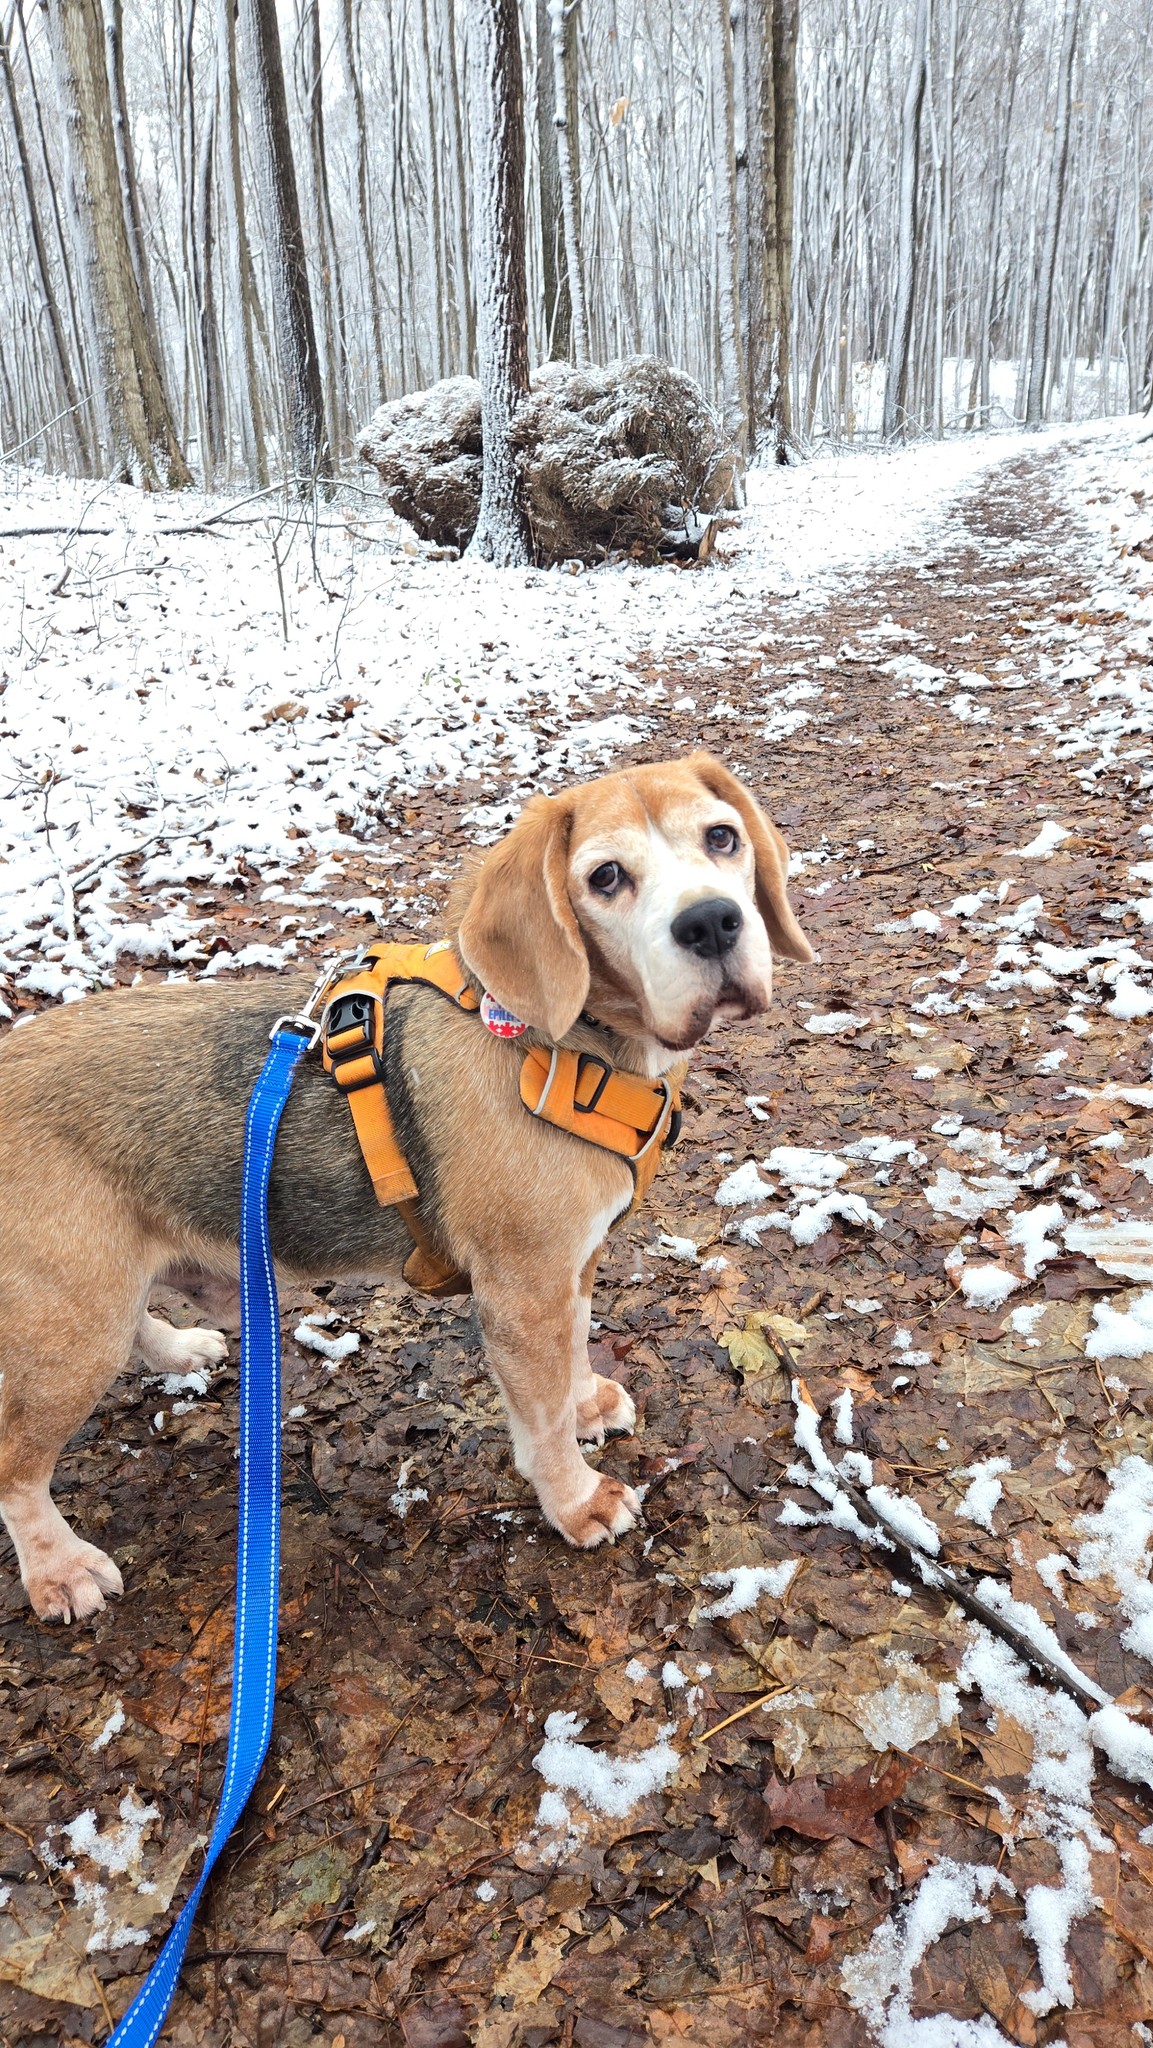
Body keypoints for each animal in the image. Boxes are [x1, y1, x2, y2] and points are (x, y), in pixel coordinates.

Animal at [0, 749, 810, 1613]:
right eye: (605, 878)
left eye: (721, 837)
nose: (711, 922)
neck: (560, 1043)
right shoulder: (521, 1290)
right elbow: (542, 1419)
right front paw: (575, 1498)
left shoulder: (571, 1265)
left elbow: (576, 1347)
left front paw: (587, 1397)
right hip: (71, 1329)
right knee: (17, 1469)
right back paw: (58, 1569)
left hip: (94, 1303)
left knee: (134, 1327)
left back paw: (178, 1348)